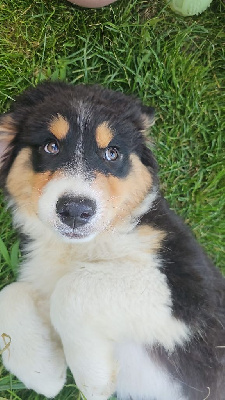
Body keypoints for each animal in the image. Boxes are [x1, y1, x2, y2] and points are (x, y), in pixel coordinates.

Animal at [0, 82, 224, 400]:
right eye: (50, 146)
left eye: (112, 153)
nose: (75, 210)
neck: (83, 248)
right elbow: (11, 292)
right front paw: (43, 370)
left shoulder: (190, 294)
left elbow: (73, 286)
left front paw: (93, 376)